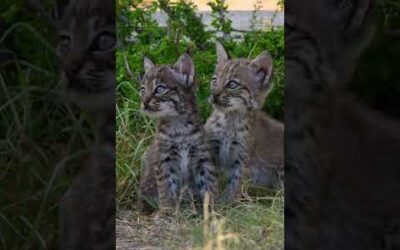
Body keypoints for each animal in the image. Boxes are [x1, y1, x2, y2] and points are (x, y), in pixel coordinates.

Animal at [138, 53, 219, 214]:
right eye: (143, 89)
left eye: (159, 89)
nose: (144, 102)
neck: (178, 123)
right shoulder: (164, 158)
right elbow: (166, 186)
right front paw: (166, 210)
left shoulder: (202, 157)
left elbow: (208, 183)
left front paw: (211, 209)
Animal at [206, 42, 284, 203]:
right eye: (214, 80)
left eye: (232, 84)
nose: (214, 96)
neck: (230, 119)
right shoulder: (211, 146)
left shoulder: (242, 160)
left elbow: (235, 185)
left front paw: (225, 204)